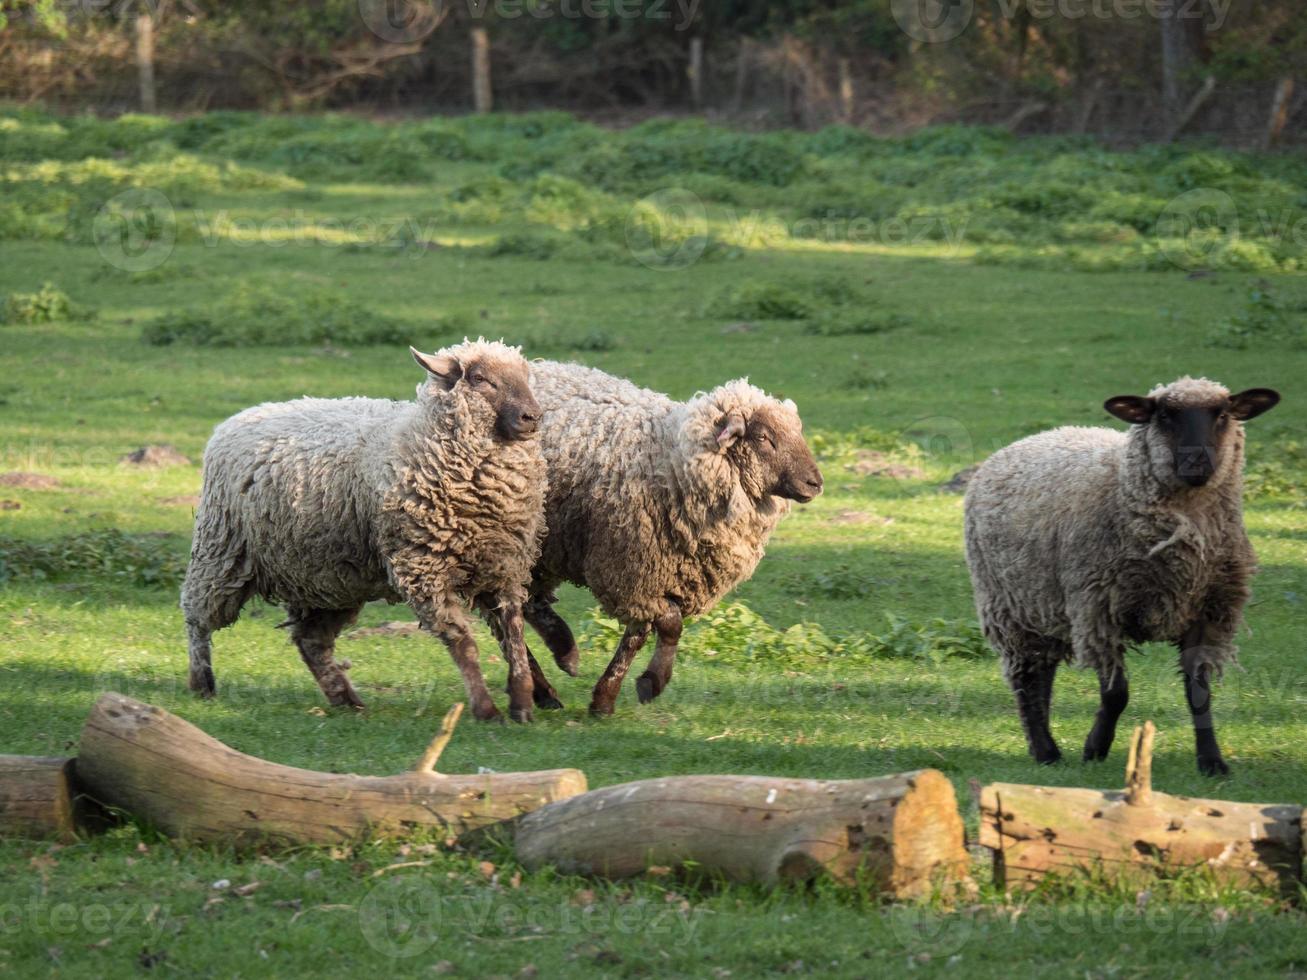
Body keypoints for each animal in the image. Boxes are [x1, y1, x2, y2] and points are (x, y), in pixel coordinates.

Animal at [181, 342, 548, 726]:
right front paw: (486, 709)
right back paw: (201, 681)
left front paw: (522, 702)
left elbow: (514, 634)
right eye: (479, 379)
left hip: (327, 576)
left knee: (311, 641)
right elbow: (463, 641)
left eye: (525, 376)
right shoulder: (422, 568)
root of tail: (238, 417)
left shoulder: (505, 567)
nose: (532, 417)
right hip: (222, 550)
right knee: (197, 617)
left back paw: (345, 698)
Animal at [507, 360, 820, 716]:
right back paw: (558, 663)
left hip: (539, 551)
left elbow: (638, 636)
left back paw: (554, 667)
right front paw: (651, 683)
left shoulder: (652, 576)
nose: (815, 482)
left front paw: (605, 698)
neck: (672, 461)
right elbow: (671, 624)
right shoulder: (629, 573)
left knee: (526, 603)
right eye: (765, 437)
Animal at [967, 376, 1280, 773]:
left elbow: (1198, 693)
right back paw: (1045, 750)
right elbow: (1117, 694)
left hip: (1042, 603)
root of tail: (1033, 437)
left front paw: (1212, 762)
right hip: (1009, 606)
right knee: (1027, 677)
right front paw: (1095, 748)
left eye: (1222, 415)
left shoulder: (1209, 612)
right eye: (1165, 415)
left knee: (1043, 673)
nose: (1197, 461)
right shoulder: (1098, 608)